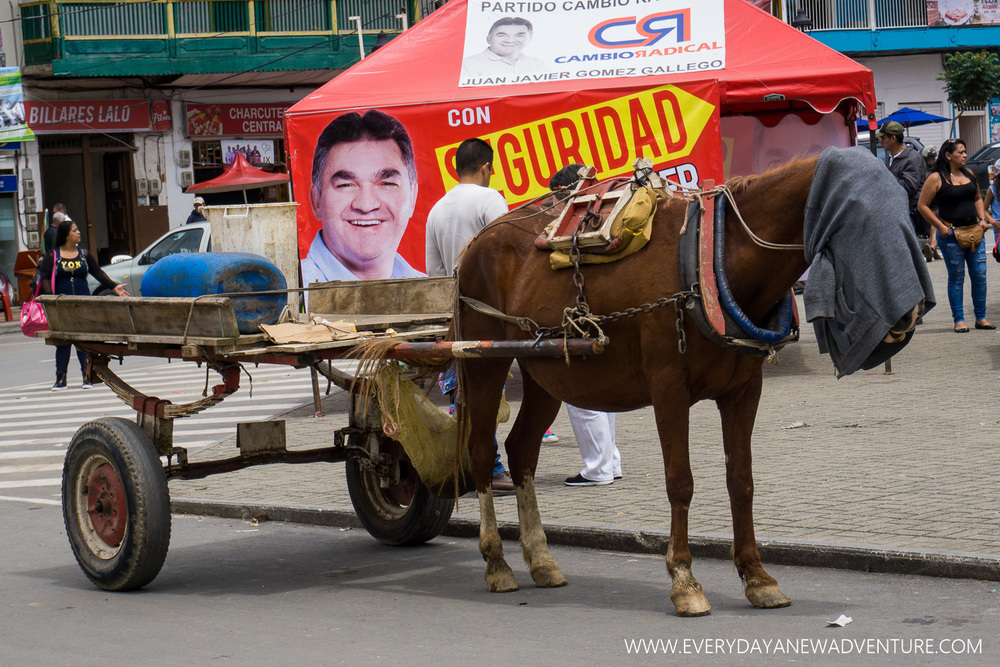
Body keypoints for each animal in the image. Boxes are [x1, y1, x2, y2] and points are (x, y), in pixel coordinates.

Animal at [450, 155, 872, 616]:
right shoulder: (669, 388)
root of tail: (475, 243)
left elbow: (741, 480)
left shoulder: (743, 391)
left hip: (546, 369)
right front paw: (684, 580)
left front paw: (758, 577)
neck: (711, 256)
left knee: (522, 450)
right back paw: (497, 563)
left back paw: (541, 559)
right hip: (484, 361)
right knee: (481, 451)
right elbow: (680, 481)